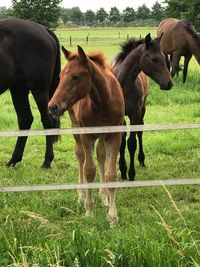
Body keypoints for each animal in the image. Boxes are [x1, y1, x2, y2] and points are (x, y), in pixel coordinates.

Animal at [0, 18, 61, 170]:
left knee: (47, 121)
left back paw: (47, 162)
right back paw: (13, 160)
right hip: (19, 89)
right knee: (25, 119)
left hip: (39, 90)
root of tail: (44, 29)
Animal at [48, 46, 124, 224]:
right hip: (76, 127)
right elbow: (89, 170)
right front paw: (89, 210)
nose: (53, 106)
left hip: (101, 136)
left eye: (76, 77)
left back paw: (103, 196)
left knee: (101, 155)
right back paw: (81, 194)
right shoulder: (86, 135)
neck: (103, 102)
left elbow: (111, 174)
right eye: (60, 76)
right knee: (80, 155)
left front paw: (112, 216)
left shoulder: (115, 135)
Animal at [111, 33, 173, 180]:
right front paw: (123, 170)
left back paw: (141, 159)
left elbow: (132, 143)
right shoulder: (120, 115)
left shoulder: (135, 112)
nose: (169, 83)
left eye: (164, 57)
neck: (124, 85)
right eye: (154, 59)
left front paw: (131, 174)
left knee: (140, 131)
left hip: (142, 110)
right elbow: (122, 141)